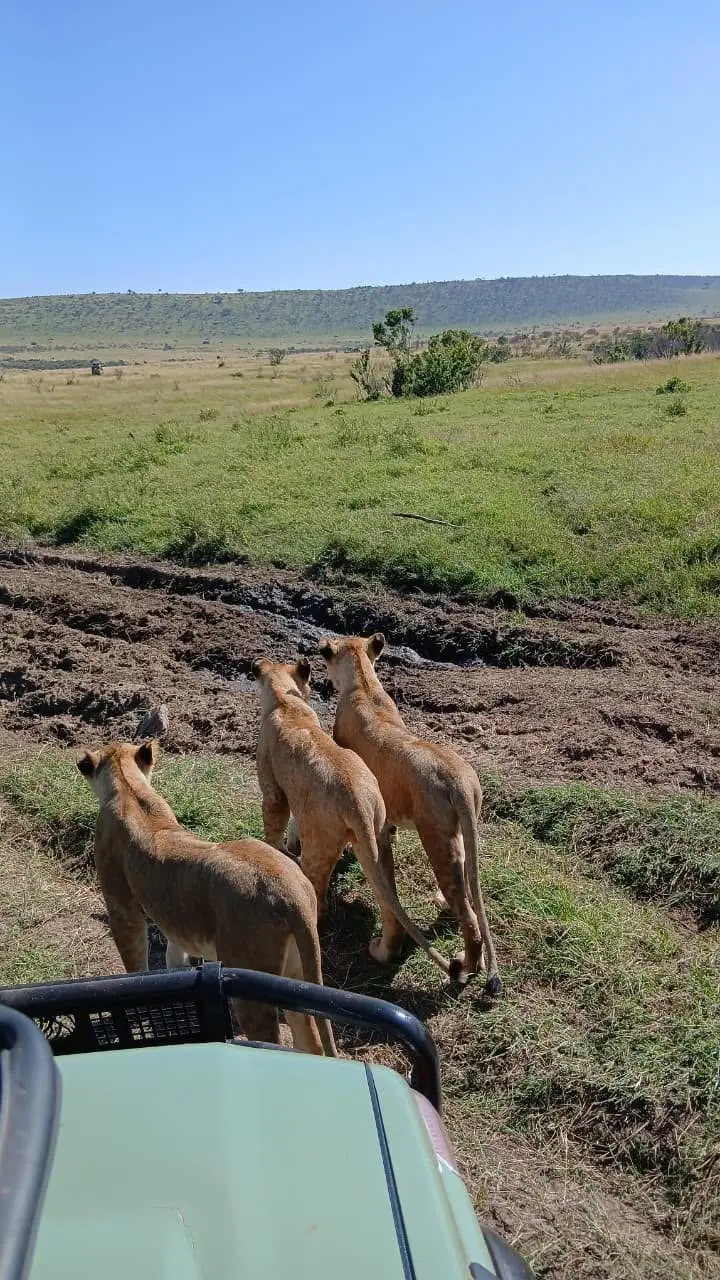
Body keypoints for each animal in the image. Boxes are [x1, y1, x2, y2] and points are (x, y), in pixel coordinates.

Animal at [77, 739, 337, 1055]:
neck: (129, 788)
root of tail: (292, 893)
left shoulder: (121, 908)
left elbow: (134, 964)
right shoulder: (175, 921)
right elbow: (174, 954)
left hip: (250, 986)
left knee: (269, 1039)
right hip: (295, 975)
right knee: (310, 1039)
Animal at [252, 655, 453, 979]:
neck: (286, 702)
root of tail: (357, 800)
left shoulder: (273, 792)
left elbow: (273, 829)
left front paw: (274, 853)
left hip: (319, 845)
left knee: (317, 896)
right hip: (373, 839)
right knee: (385, 899)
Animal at [318, 633, 502, 996]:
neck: (363, 680)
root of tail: (460, 781)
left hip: (436, 838)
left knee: (470, 918)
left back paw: (465, 964)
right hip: (459, 837)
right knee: (466, 890)